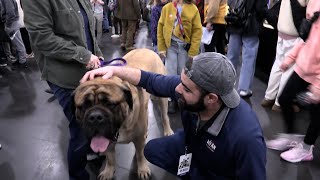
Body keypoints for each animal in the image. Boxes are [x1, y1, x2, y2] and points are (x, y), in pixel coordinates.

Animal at [74, 48, 174, 179]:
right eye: (85, 105)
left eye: (110, 104)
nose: (95, 117)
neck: (122, 126)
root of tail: (149, 50)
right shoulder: (107, 142)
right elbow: (110, 158)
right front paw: (108, 171)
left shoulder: (139, 139)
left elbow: (140, 154)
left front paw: (142, 169)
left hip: (161, 99)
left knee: (164, 116)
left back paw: (167, 130)